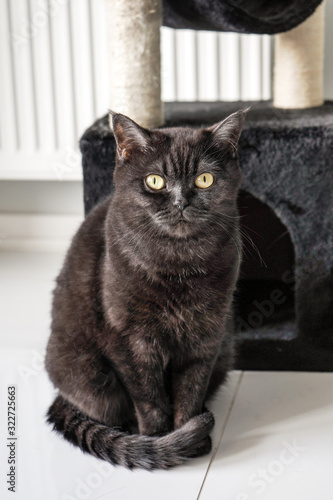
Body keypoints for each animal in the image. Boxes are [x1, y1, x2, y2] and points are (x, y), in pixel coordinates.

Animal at [45, 108, 245, 468]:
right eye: (155, 181)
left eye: (204, 180)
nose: (181, 202)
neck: (179, 265)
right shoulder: (128, 340)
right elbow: (149, 398)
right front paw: (158, 440)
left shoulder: (206, 337)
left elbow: (190, 391)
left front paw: (190, 436)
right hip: (86, 373)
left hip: (226, 349)